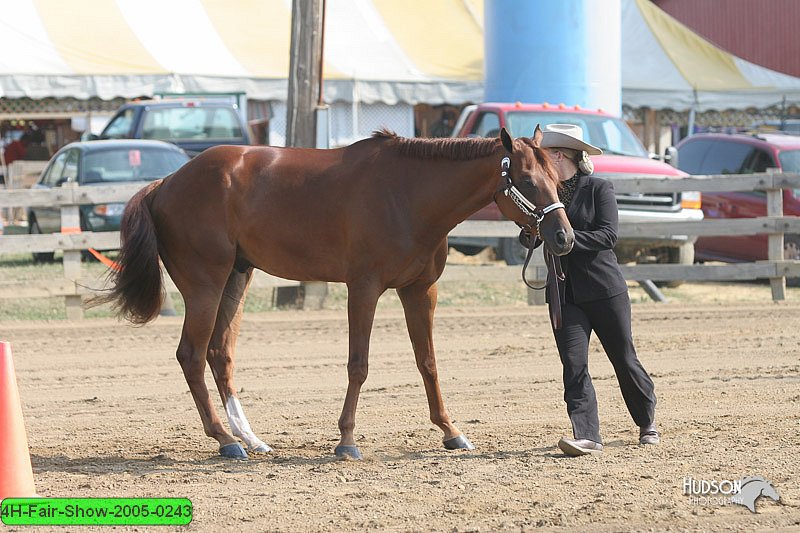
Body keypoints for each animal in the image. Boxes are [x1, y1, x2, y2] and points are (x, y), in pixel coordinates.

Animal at [94, 127, 572, 460]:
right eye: (527, 180)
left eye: (557, 178)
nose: (563, 237)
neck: (408, 194)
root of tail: (166, 182)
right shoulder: (363, 289)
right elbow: (358, 365)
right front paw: (346, 441)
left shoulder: (420, 291)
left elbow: (428, 364)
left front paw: (451, 432)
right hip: (204, 286)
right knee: (191, 356)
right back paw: (224, 440)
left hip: (236, 278)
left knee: (219, 354)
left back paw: (250, 438)